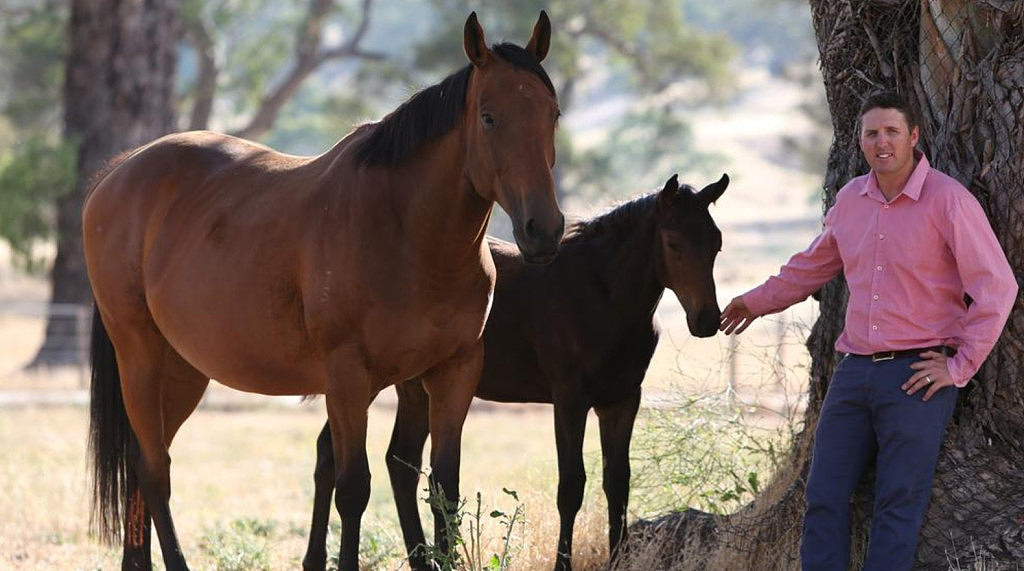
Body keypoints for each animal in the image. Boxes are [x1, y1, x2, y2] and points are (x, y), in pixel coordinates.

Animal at [86, 13, 569, 571]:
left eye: (553, 113)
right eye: (489, 117)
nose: (543, 230)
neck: (405, 231)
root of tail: (117, 173)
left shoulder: (454, 372)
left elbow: (444, 490)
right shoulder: (347, 377)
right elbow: (353, 487)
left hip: (182, 371)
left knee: (142, 464)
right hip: (140, 356)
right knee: (156, 471)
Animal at [303, 176, 729, 571]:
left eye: (716, 243)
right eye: (673, 243)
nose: (707, 320)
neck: (601, 296)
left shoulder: (622, 400)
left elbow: (618, 482)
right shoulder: (569, 399)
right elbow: (571, 485)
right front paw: (562, 564)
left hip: (410, 387)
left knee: (386, 458)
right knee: (357, 456)